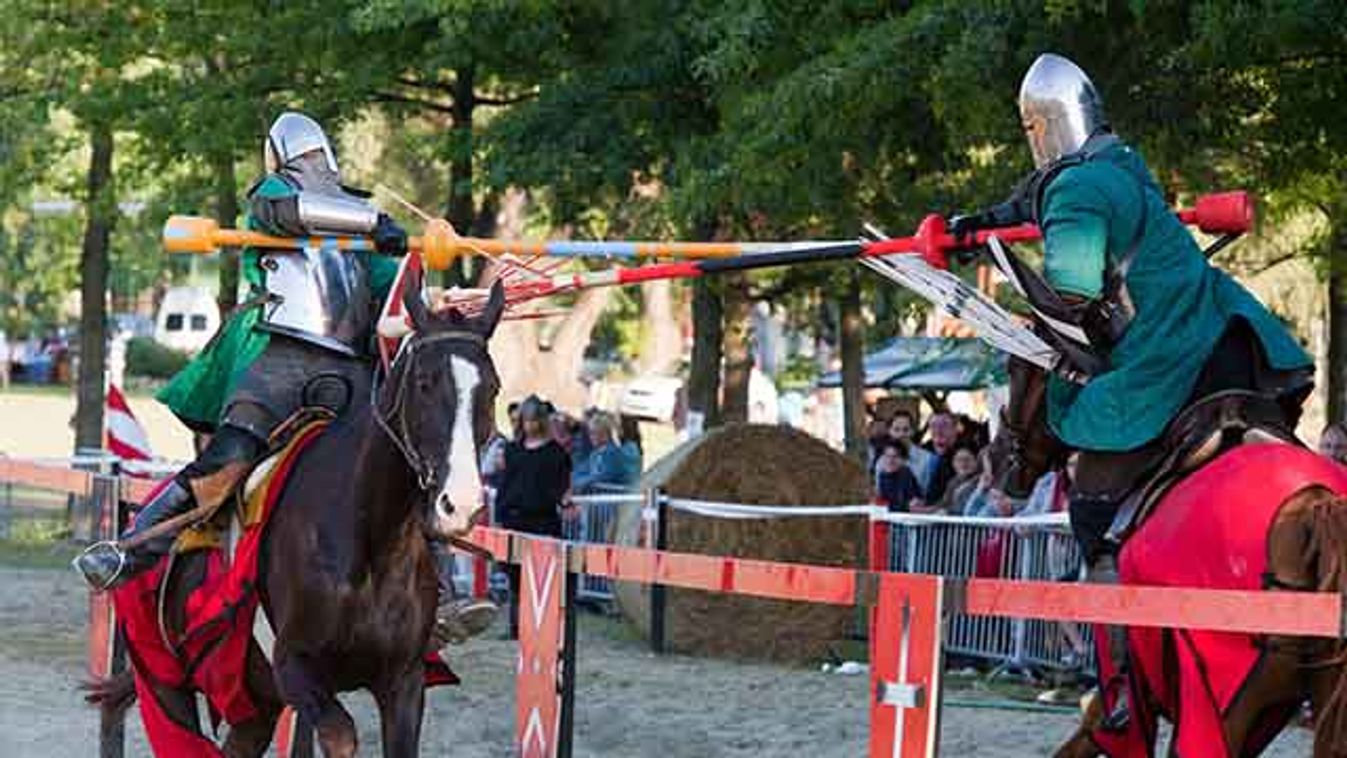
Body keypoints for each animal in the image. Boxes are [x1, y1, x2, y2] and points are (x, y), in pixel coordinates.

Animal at [90, 276, 506, 753]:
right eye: (423, 383)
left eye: (492, 388)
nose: (461, 503)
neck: (369, 540)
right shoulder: (296, 669)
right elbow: (341, 736)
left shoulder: (404, 682)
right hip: (163, 680)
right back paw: (109, 558)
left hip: (254, 704)